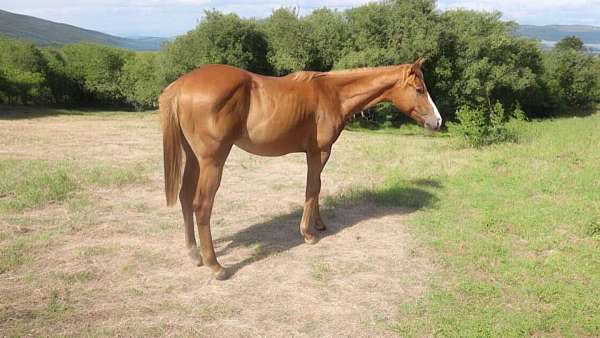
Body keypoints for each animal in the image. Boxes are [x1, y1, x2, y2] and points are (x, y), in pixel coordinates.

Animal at [159, 58, 440, 280]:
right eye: (419, 89)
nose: (437, 121)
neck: (333, 94)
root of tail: (181, 86)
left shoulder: (314, 154)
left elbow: (316, 187)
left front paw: (319, 224)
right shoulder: (320, 152)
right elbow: (312, 188)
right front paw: (308, 233)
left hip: (193, 158)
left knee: (185, 198)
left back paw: (193, 253)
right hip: (212, 161)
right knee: (202, 206)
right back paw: (216, 266)